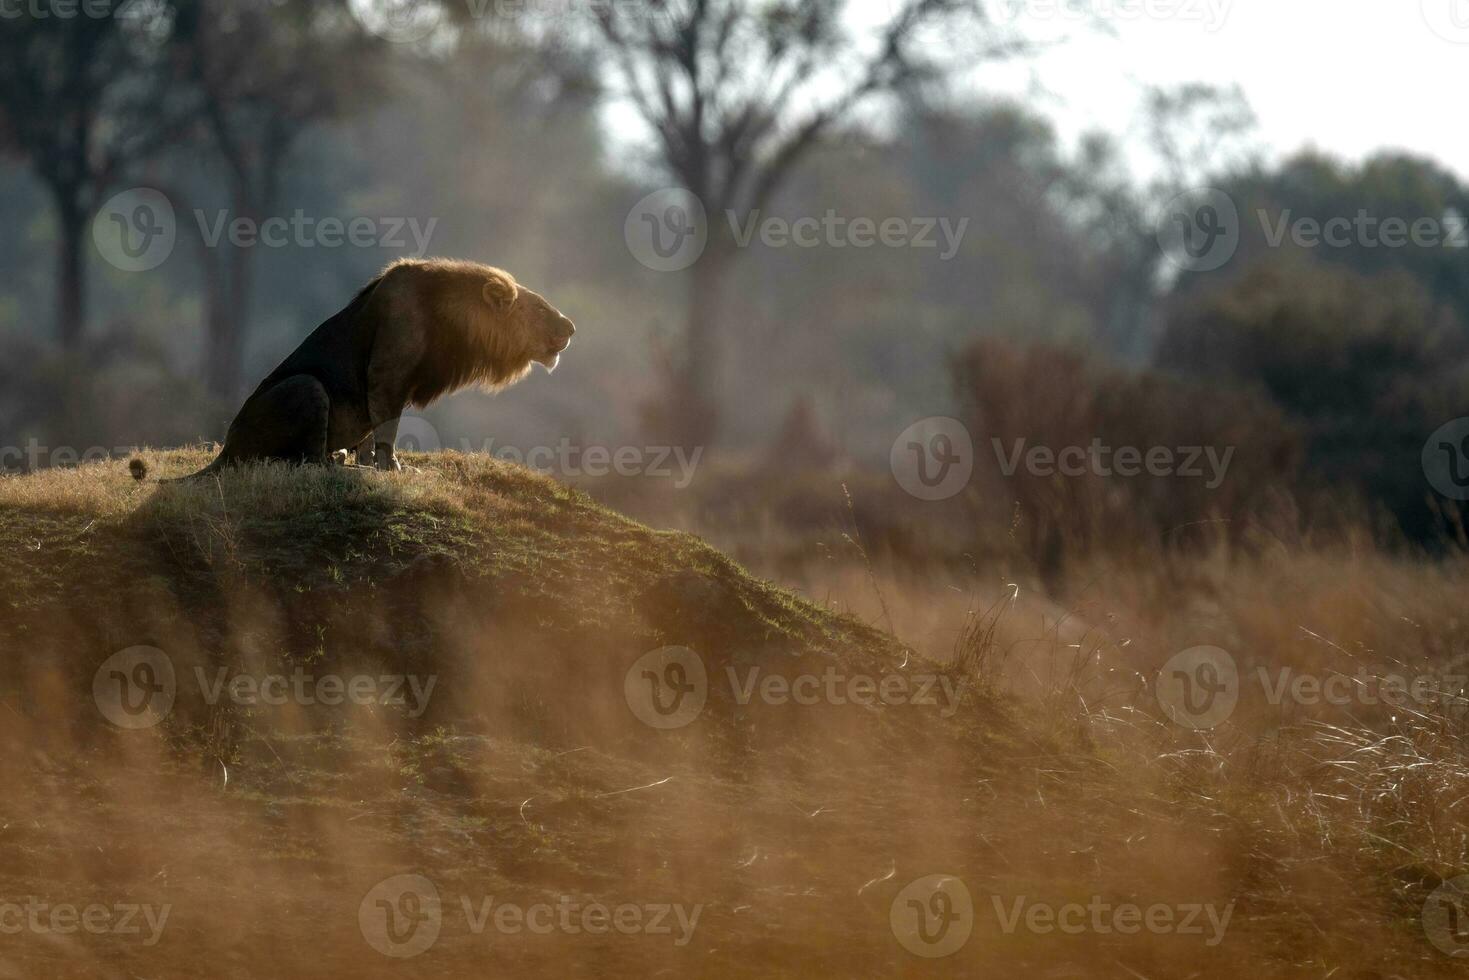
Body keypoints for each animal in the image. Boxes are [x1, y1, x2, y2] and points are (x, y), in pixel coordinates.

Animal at [176, 257, 572, 478]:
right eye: (539, 309)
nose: (571, 327)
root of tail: (226, 448)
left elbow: (369, 431)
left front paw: (369, 462)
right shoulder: (387, 375)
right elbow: (387, 427)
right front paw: (391, 468)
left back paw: (341, 457)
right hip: (306, 386)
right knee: (301, 461)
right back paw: (336, 463)